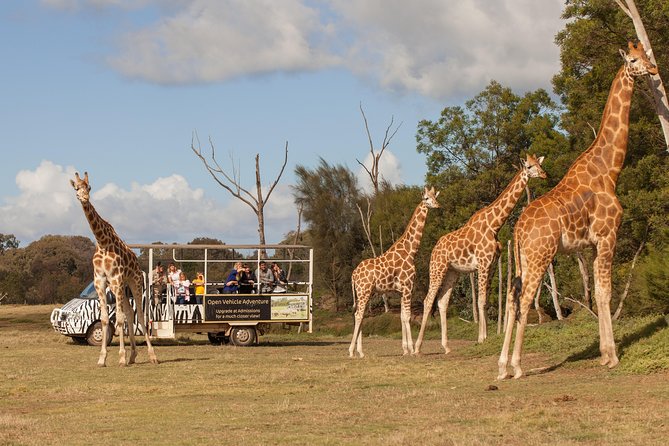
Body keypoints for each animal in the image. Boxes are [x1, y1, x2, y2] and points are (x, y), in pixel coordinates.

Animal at [70, 171, 158, 366]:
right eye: (76, 188)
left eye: (89, 187)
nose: (84, 198)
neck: (103, 243)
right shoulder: (101, 281)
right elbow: (105, 319)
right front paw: (102, 359)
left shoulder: (116, 278)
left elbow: (118, 318)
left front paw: (121, 357)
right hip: (121, 287)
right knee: (130, 313)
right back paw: (133, 356)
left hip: (133, 282)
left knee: (140, 315)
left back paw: (152, 356)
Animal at [348, 186, 440, 358]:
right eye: (426, 198)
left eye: (435, 197)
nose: (437, 205)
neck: (411, 251)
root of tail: (353, 274)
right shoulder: (408, 286)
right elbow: (408, 316)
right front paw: (411, 349)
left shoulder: (401, 289)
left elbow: (403, 316)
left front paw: (405, 350)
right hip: (363, 291)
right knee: (358, 315)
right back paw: (351, 351)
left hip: (366, 292)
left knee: (361, 315)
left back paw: (361, 352)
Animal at [412, 155, 548, 354]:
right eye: (530, 166)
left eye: (539, 164)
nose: (544, 174)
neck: (494, 224)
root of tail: (434, 249)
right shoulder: (483, 263)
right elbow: (481, 299)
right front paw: (482, 338)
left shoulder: (491, 265)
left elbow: (485, 301)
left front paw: (485, 336)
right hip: (437, 268)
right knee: (428, 300)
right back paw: (417, 347)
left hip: (453, 272)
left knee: (442, 302)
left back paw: (446, 346)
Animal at [496, 42, 656, 380]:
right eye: (633, 59)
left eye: (645, 55)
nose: (654, 69)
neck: (609, 169)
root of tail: (518, 229)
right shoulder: (608, 236)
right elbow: (605, 293)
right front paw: (612, 357)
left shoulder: (594, 243)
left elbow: (596, 290)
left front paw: (604, 355)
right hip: (541, 255)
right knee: (526, 299)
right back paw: (517, 366)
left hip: (523, 260)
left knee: (513, 299)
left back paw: (502, 367)